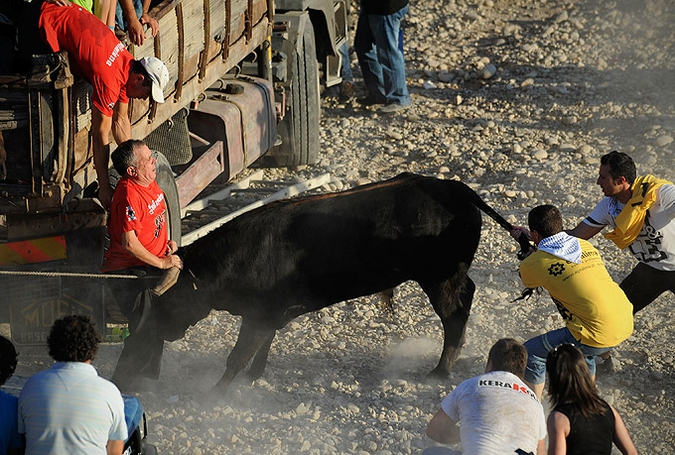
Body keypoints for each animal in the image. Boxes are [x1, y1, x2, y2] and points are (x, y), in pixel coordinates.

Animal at [156, 175, 524, 392]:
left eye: (173, 299)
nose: (165, 333)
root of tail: (455, 187)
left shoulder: (258, 315)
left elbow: (238, 355)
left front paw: (216, 393)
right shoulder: (268, 315)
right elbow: (261, 347)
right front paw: (253, 376)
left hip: (439, 279)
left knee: (453, 316)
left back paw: (441, 370)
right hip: (449, 276)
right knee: (467, 297)